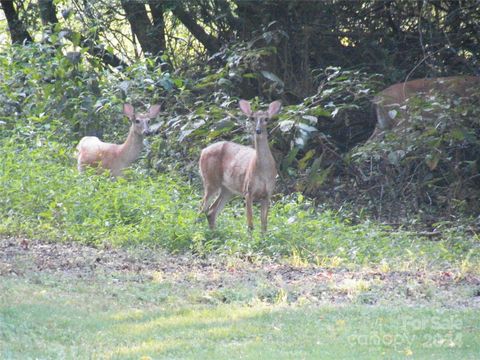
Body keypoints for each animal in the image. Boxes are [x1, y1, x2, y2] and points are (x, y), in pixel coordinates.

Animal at [199, 100, 282, 232]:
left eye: (266, 119)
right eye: (252, 118)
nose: (258, 130)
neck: (263, 171)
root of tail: (203, 151)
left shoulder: (268, 193)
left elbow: (264, 225)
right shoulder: (248, 190)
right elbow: (250, 225)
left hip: (228, 190)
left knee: (211, 211)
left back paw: (213, 233)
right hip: (210, 180)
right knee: (202, 207)